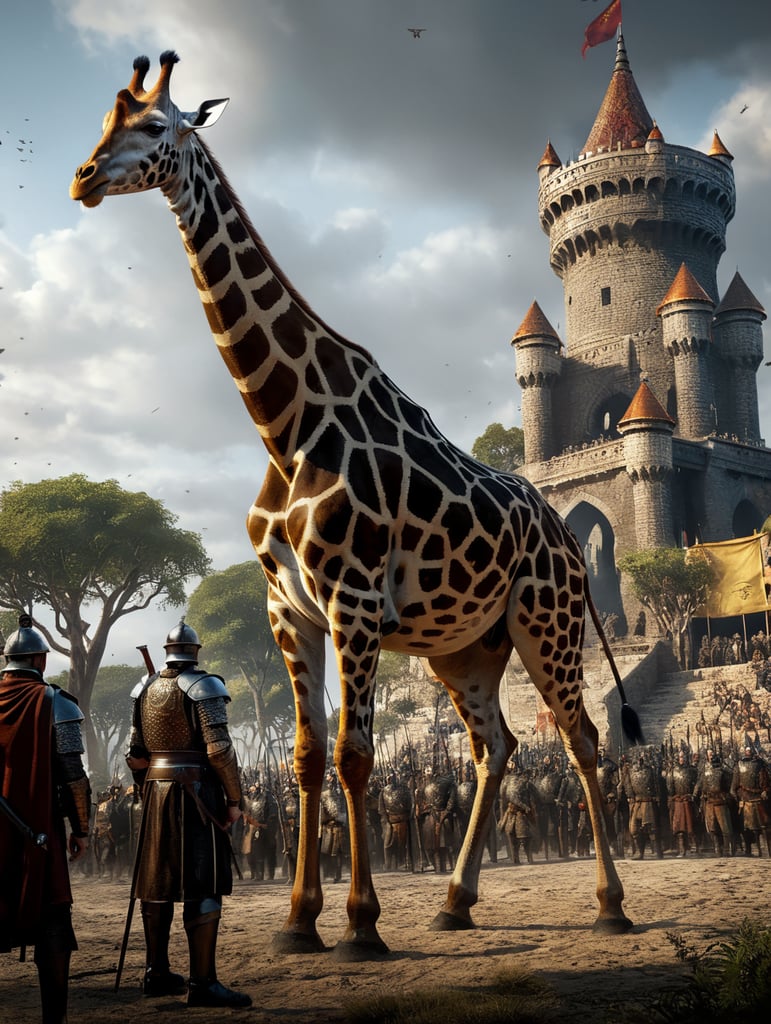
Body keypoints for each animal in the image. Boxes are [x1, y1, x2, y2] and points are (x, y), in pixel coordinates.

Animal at [71, 52, 640, 959]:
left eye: (155, 126)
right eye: (104, 122)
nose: (84, 179)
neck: (284, 424)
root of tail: (559, 527)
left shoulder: (355, 602)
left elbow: (354, 754)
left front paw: (362, 924)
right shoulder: (288, 608)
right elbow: (307, 756)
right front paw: (299, 921)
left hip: (543, 621)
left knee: (580, 738)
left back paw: (609, 903)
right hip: (465, 646)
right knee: (498, 744)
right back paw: (453, 902)